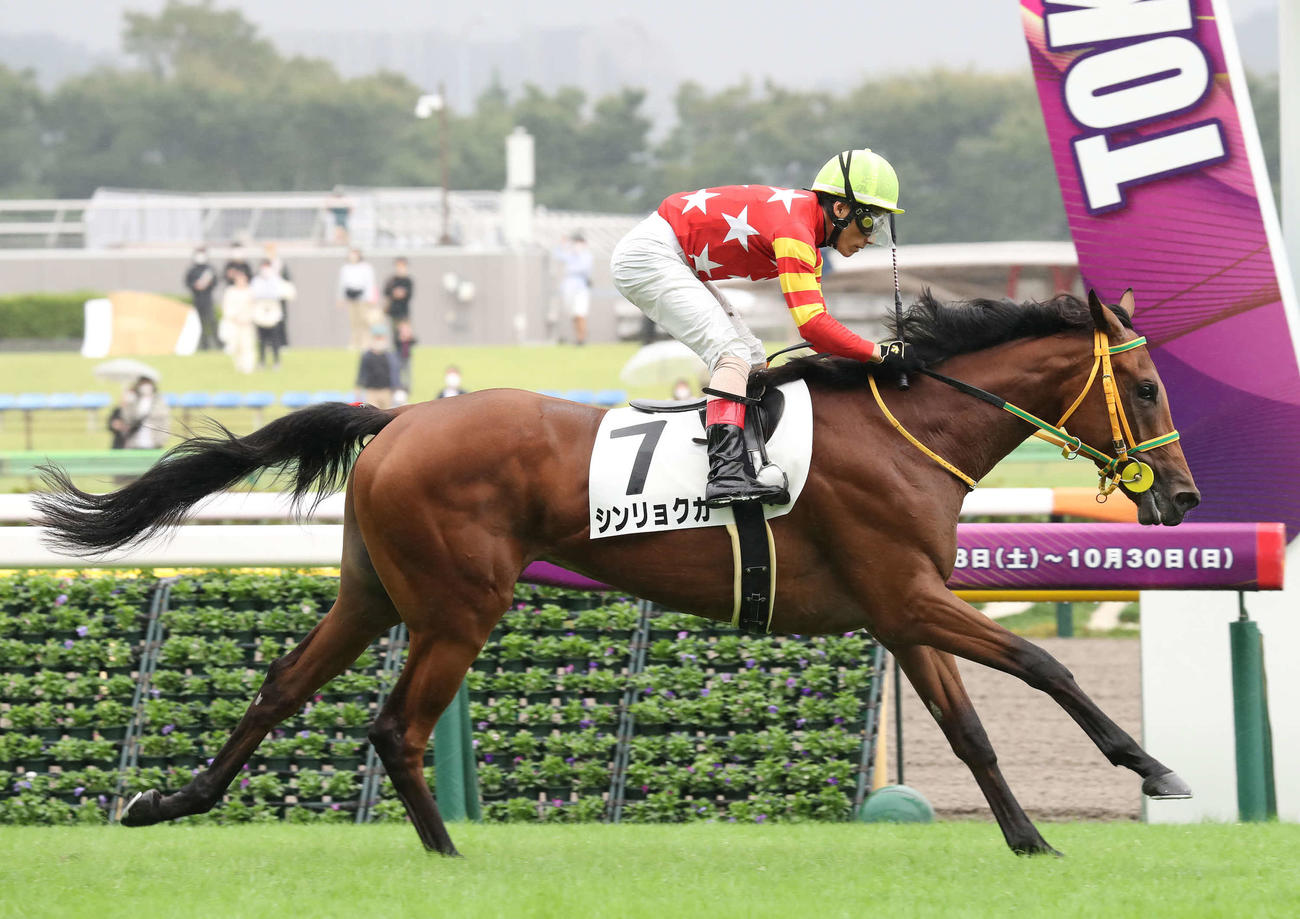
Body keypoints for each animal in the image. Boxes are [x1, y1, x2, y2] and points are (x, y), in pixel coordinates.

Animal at [35, 288, 1200, 857]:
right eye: (1145, 386)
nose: (1183, 498)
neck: (904, 431)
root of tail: (399, 417)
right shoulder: (909, 595)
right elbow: (1044, 667)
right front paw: (1153, 769)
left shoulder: (902, 612)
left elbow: (969, 729)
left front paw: (1028, 840)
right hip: (460, 604)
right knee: (395, 726)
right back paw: (448, 856)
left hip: (373, 590)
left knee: (281, 686)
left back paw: (167, 801)